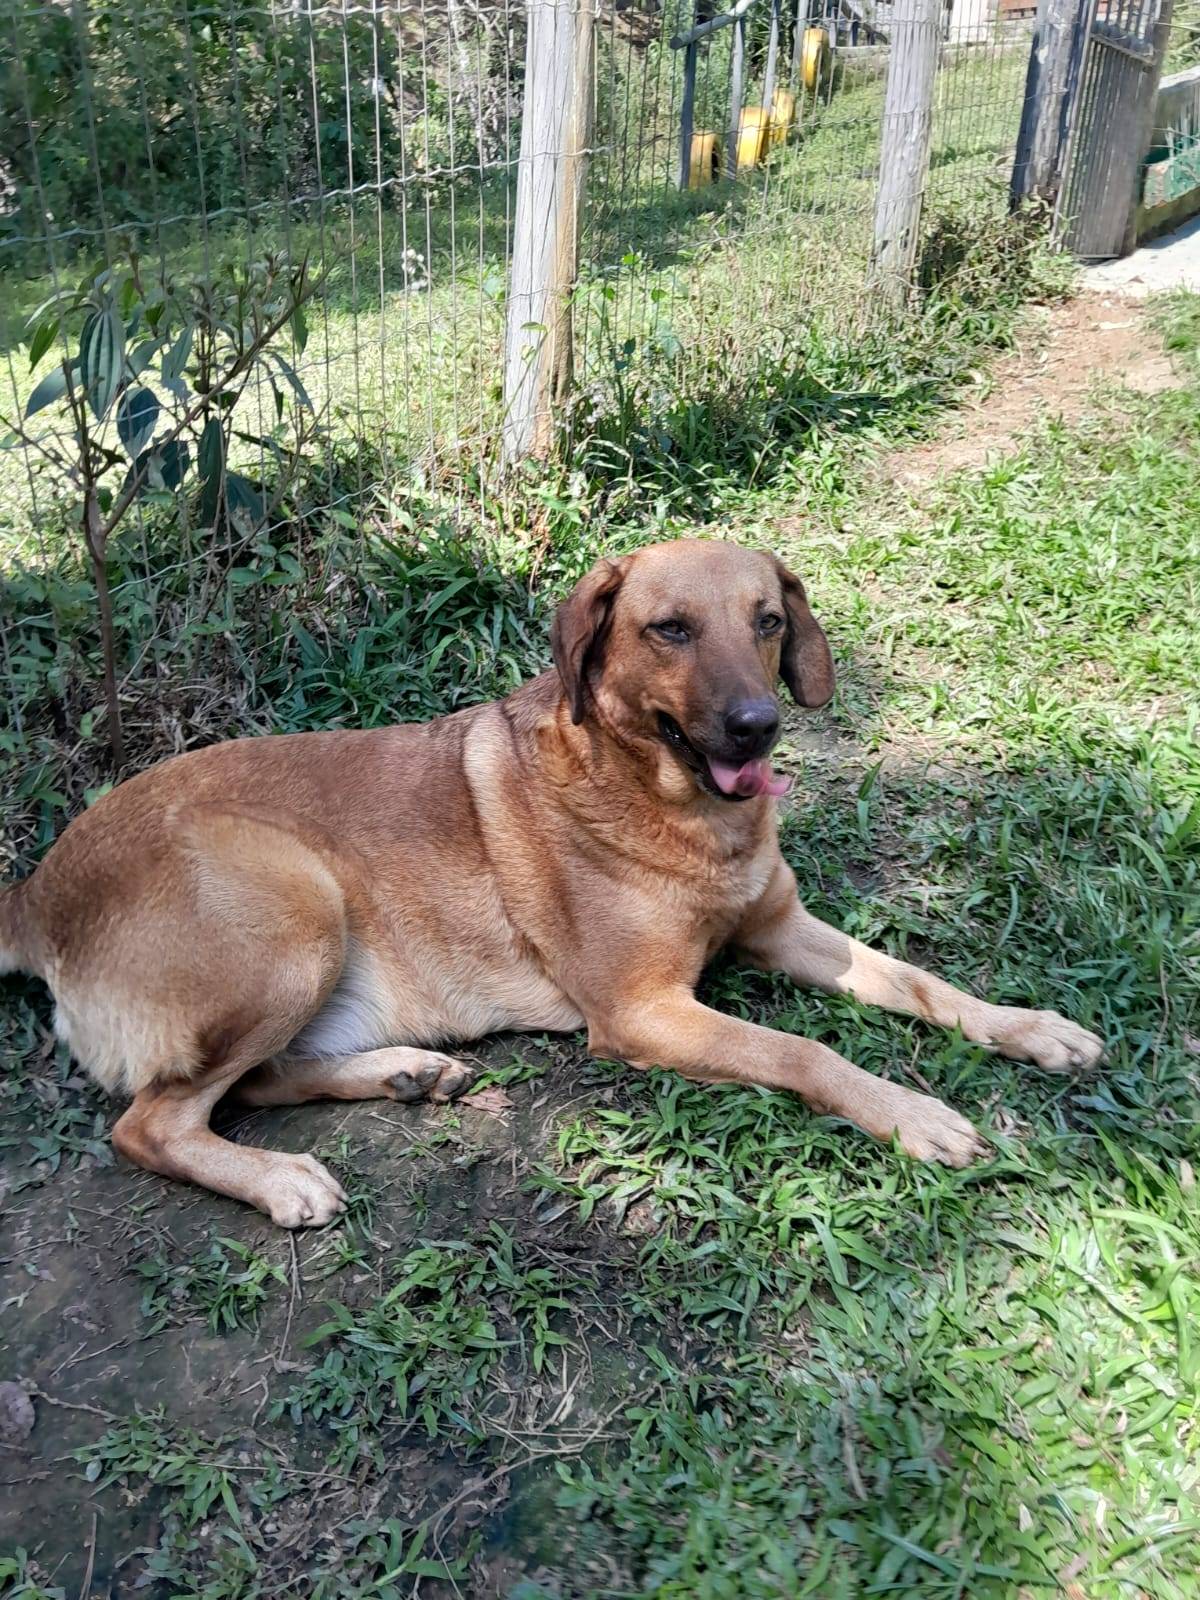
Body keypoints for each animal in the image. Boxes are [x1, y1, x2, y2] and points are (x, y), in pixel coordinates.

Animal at [0, 539, 1102, 1224]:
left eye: (767, 621)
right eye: (670, 629)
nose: (758, 728)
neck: (671, 806)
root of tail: (37, 887)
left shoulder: (782, 928)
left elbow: (924, 983)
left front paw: (1029, 1027)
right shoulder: (645, 1011)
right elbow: (805, 1052)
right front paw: (911, 1114)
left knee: (254, 1081)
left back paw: (404, 1073)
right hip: (295, 911)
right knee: (151, 1122)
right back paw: (280, 1182)